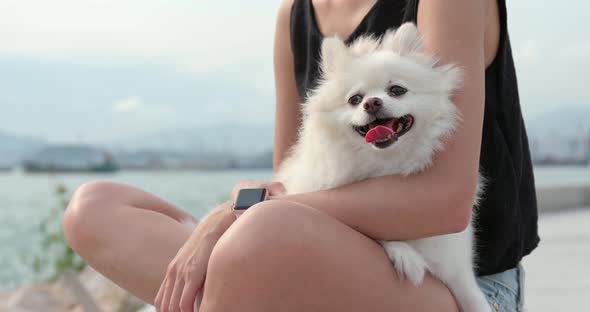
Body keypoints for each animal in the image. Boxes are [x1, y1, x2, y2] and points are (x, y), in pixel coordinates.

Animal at [276, 22, 492, 312]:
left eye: (397, 90)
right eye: (355, 99)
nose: (372, 102)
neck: (386, 165)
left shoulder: (457, 271)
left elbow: (474, 299)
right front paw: (404, 253)